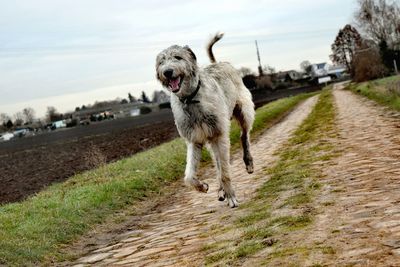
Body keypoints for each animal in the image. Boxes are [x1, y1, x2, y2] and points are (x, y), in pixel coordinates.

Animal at [155, 33, 255, 208]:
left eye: (178, 57)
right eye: (161, 61)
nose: (167, 72)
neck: (190, 99)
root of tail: (218, 62)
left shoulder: (220, 135)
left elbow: (225, 172)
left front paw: (231, 197)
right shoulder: (193, 139)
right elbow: (189, 176)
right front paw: (202, 186)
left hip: (244, 111)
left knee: (244, 136)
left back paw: (248, 163)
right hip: (211, 138)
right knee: (217, 162)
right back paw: (220, 190)